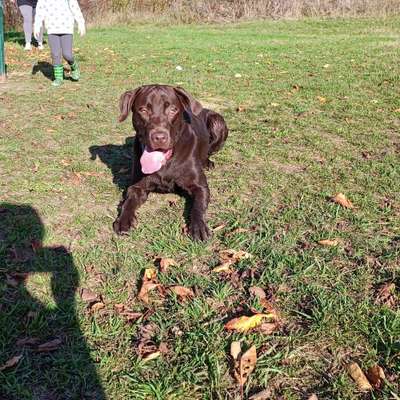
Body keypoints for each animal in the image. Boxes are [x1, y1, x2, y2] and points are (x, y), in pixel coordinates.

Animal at [114, 84, 230, 241]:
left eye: (173, 110)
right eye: (143, 110)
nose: (159, 137)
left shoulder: (200, 187)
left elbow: (198, 207)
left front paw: (199, 227)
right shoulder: (137, 186)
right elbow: (128, 202)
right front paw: (123, 220)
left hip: (218, 122)